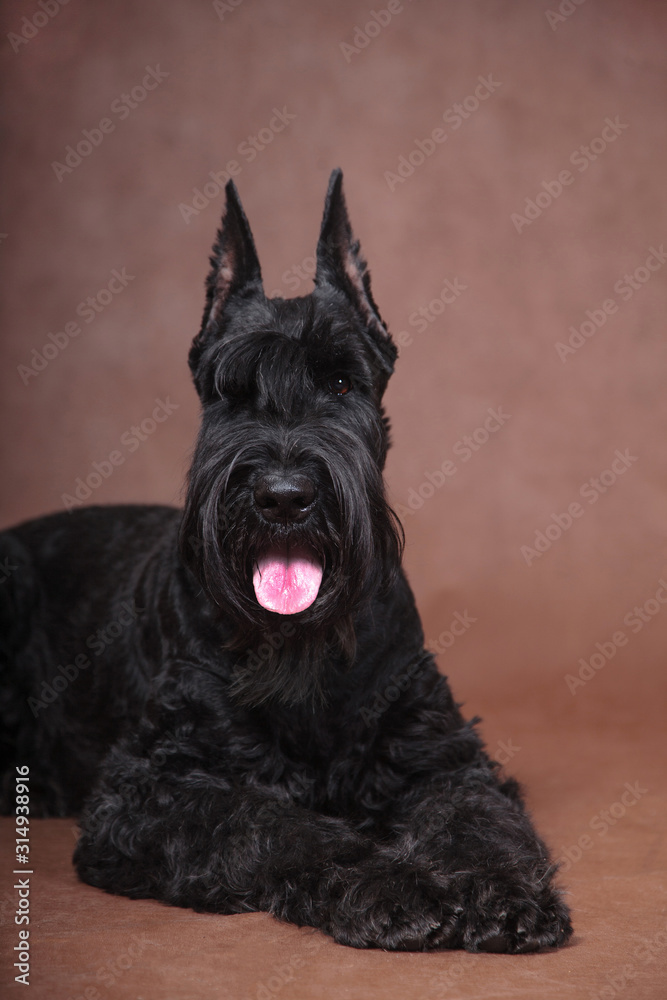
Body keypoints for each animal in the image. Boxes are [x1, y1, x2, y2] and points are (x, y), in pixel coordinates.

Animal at [1, 172, 576, 952]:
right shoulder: (152, 791)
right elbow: (273, 825)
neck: (304, 647)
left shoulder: (439, 755)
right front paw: (392, 884)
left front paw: (501, 892)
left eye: (341, 384)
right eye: (231, 392)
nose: (283, 496)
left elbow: (475, 820)